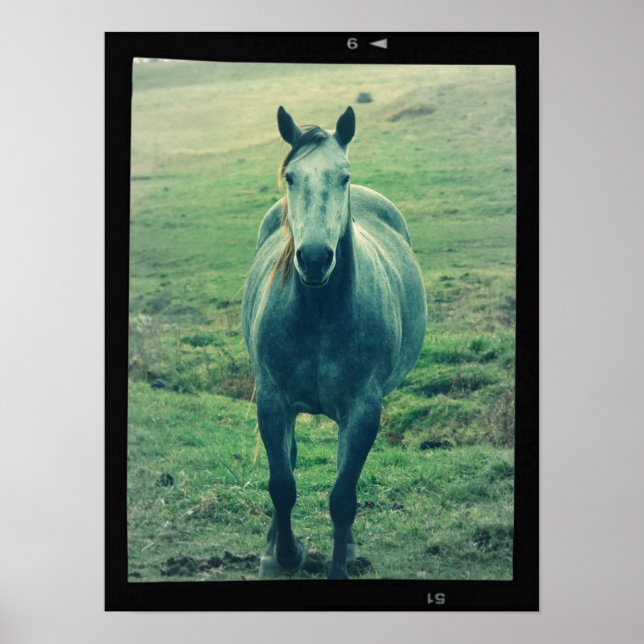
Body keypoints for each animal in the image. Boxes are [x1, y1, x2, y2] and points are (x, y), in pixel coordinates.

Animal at [241, 106, 427, 579]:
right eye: (290, 177)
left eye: (343, 176)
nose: (313, 258)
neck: (319, 315)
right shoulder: (273, 401)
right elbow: (282, 483)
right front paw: (285, 555)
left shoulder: (363, 410)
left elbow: (343, 496)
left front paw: (339, 566)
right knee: (288, 461)